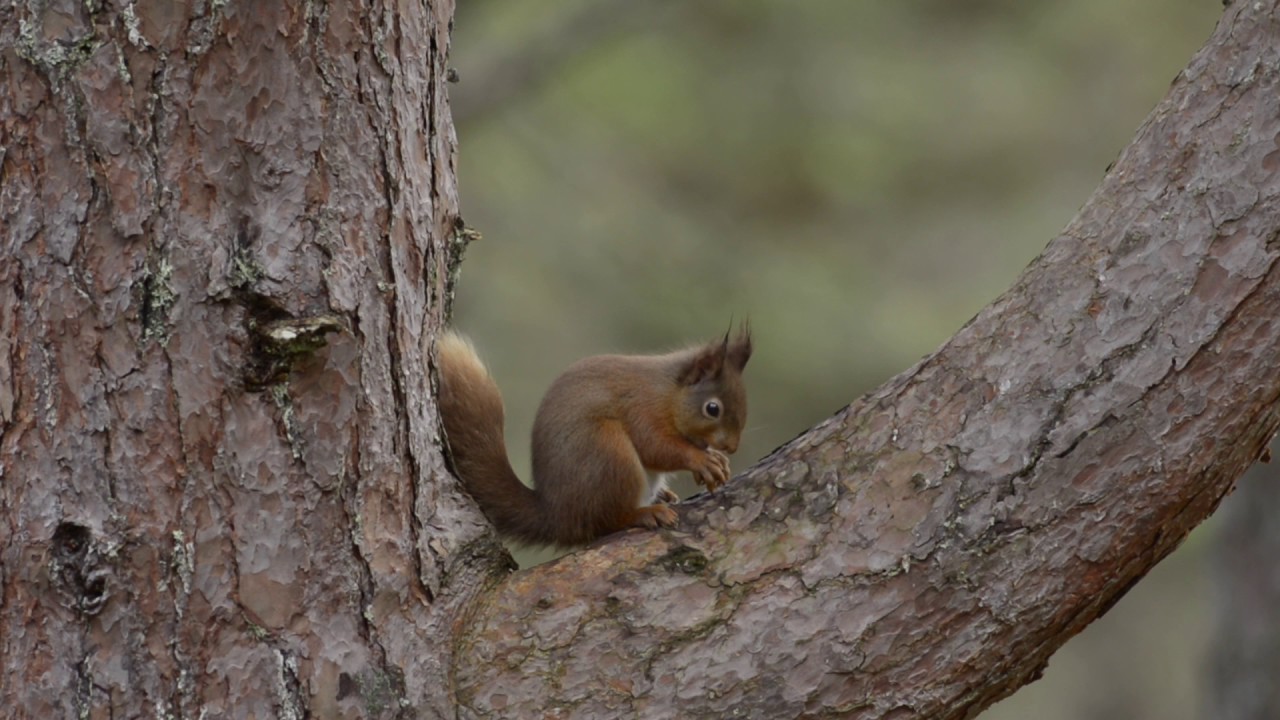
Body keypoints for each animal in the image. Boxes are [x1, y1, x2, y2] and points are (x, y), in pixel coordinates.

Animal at [436, 327, 752, 546]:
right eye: (712, 408)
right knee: (605, 521)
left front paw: (716, 460)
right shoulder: (640, 409)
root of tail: (557, 516)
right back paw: (644, 513)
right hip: (608, 452)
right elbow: (655, 447)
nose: (732, 447)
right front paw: (701, 460)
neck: (668, 393)